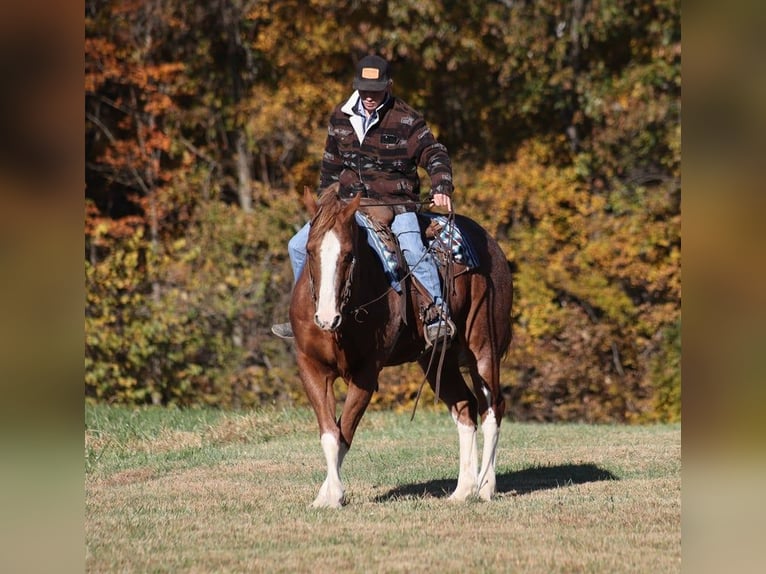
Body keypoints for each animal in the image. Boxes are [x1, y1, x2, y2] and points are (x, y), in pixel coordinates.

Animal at [289, 183, 513, 508]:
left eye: (349, 255)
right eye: (308, 251)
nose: (326, 318)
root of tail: (492, 247)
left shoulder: (367, 373)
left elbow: (345, 432)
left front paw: (334, 494)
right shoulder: (312, 369)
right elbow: (330, 434)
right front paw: (325, 496)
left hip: (483, 348)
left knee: (492, 408)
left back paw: (485, 486)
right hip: (438, 359)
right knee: (465, 407)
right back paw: (463, 490)